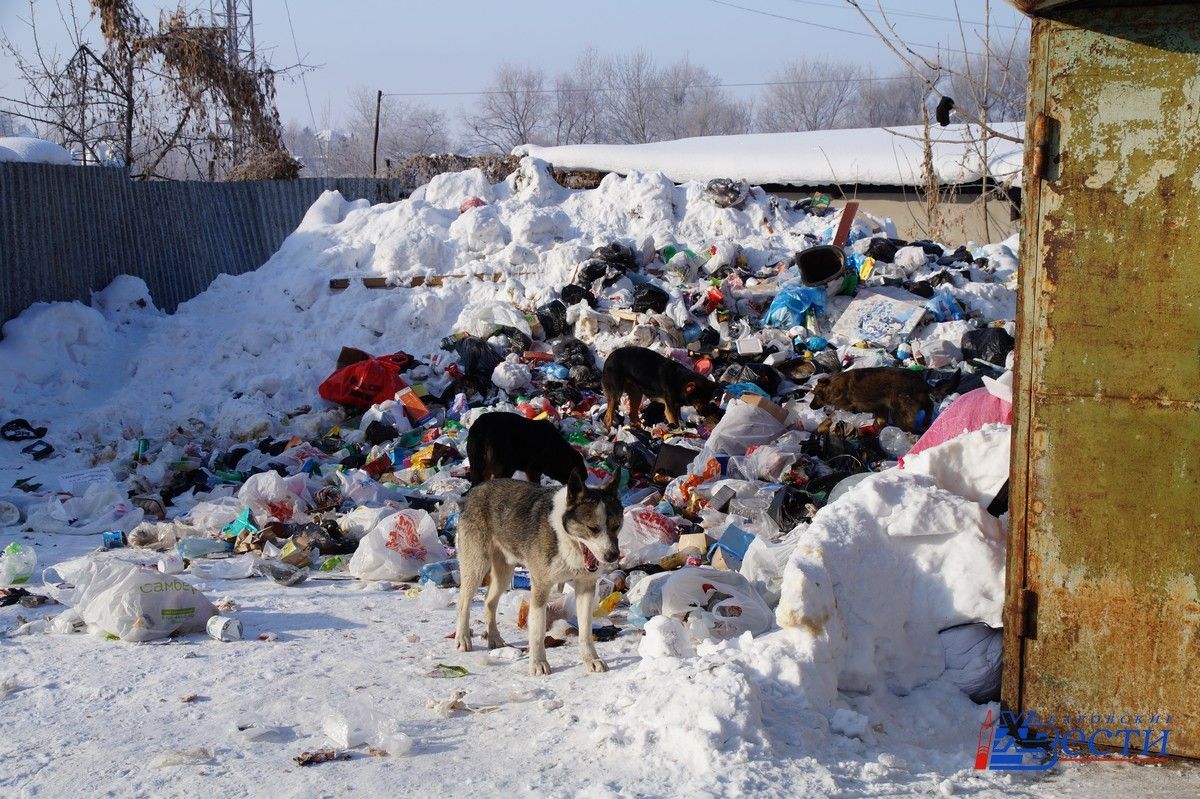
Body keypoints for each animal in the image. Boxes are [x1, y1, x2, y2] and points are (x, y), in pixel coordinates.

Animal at [456, 472, 624, 671]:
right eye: (593, 528)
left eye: (616, 526)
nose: (613, 555)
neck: (564, 537)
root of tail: (475, 490)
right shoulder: (541, 587)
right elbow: (537, 632)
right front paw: (538, 663)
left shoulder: (586, 588)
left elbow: (585, 631)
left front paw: (591, 659)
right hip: (476, 566)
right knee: (463, 603)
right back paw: (462, 637)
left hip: (504, 572)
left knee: (489, 601)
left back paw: (494, 637)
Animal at [811, 364, 960, 429]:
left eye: (816, 394)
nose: (811, 406)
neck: (833, 386)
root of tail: (921, 382)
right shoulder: (881, 409)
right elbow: (880, 421)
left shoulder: (845, 407)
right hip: (917, 401)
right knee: (929, 405)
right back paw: (926, 422)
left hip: (900, 410)